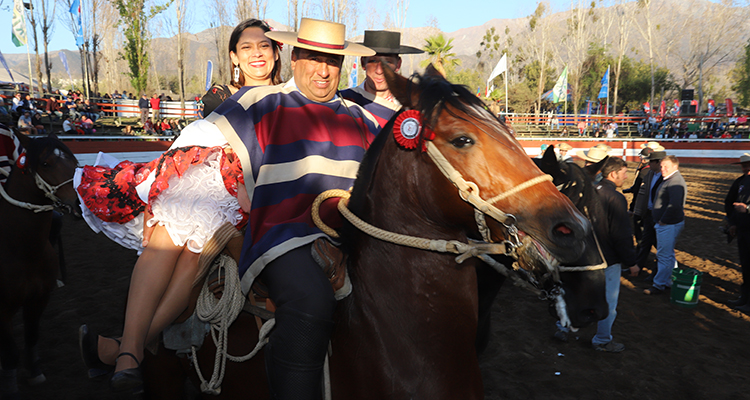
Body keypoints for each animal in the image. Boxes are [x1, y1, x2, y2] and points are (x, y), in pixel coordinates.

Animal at [0, 133, 78, 398]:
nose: (78, 203)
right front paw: (10, 388)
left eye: (74, 160)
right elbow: (10, 352)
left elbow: (32, 336)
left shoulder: (39, 298)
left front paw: (35, 372)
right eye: (45, 163)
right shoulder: (2, 311)